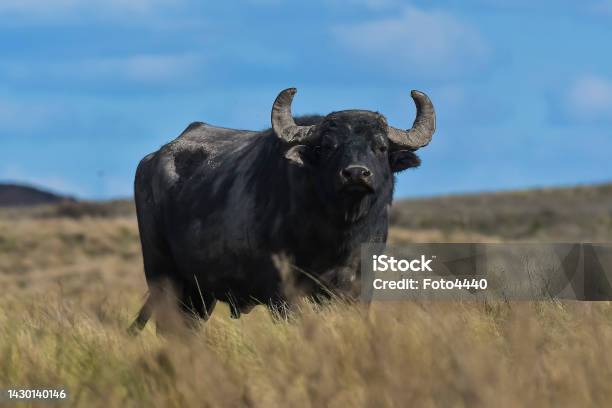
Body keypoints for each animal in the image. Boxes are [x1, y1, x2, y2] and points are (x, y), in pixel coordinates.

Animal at [129, 87, 436, 332]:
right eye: (327, 146)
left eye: (380, 147)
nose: (356, 174)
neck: (336, 234)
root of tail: (151, 160)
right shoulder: (282, 292)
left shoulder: (356, 287)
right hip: (163, 276)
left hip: (199, 293)